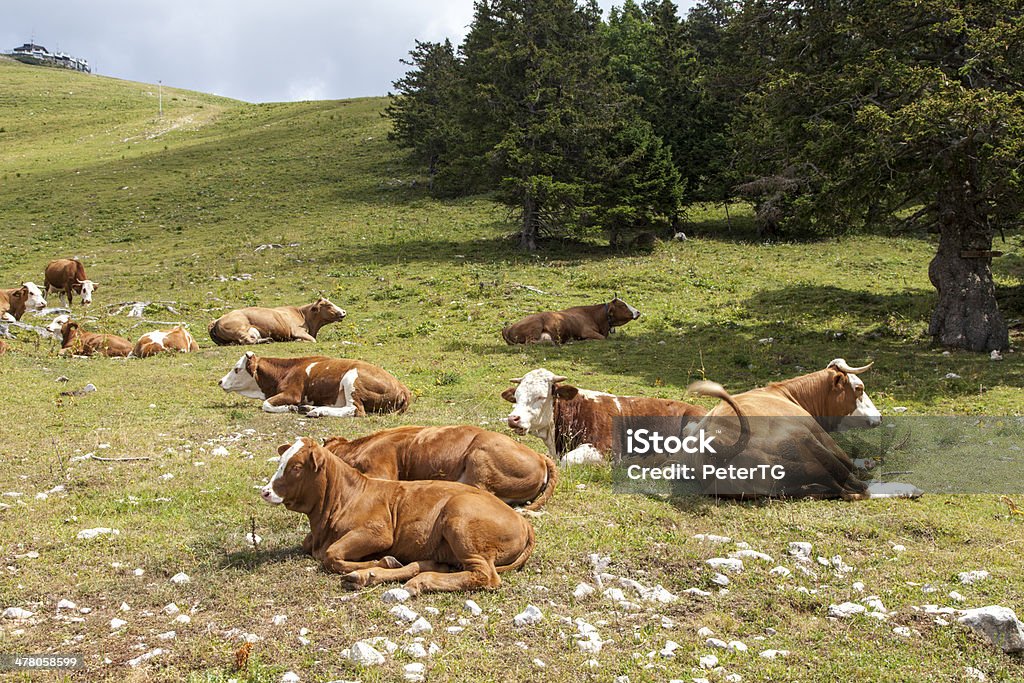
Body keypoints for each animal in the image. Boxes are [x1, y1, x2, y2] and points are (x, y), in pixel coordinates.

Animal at [207, 296, 348, 344]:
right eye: (328, 305)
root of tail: (217, 320)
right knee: (246, 340)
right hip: (239, 329)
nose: (343, 312)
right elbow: (312, 340)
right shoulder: (298, 331)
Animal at [258, 438, 536, 593]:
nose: (266, 491)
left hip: (460, 518)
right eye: (281, 461)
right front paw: (379, 565)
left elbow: (330, 555)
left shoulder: (378, 533)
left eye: (295, 467)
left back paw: (419, 580)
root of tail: (522, 520)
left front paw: (376, 561)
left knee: (484, 575)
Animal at [501, 294, 638, 344]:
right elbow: (601, 338)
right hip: (536, 325)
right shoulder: (586, 331)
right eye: (622, 305)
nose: (638, 312)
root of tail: (508, 328)